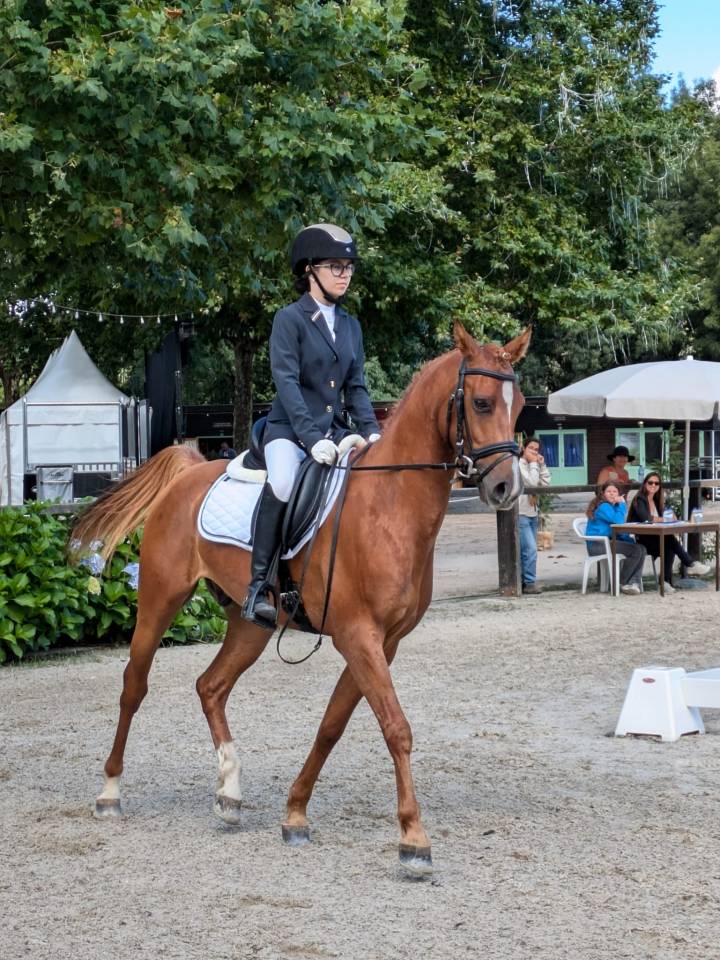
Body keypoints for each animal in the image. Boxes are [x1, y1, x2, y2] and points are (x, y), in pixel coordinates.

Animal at [72, 321, 530, 876]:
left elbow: (332, 725)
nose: (506, 488)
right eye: (481, 403)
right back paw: (110, 791)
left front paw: (294, 813)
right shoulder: (359, 635)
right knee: (133, 687)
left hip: (250, 623)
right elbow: (395, 727)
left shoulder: (382, 641)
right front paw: (413, 838)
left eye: (519, 404)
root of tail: (189, 471)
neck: (389, 503)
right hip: (160, 601)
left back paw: (229, 793)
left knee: (211, 686)